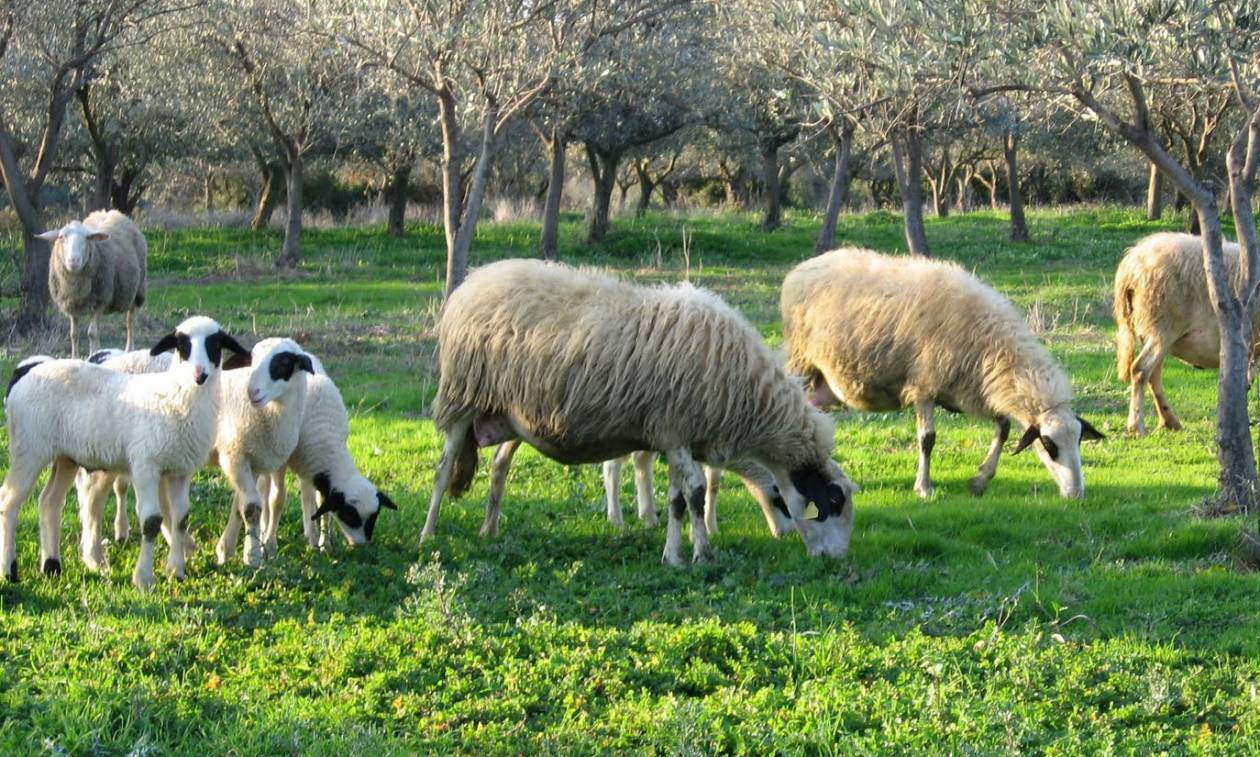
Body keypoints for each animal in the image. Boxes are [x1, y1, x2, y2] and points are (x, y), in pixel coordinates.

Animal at [38, 207, 147, 357]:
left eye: (87, 238)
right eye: (61, 237)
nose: (74, 261)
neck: (76, 286)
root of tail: (115, 213)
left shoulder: (100, 301)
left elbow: (91, 333)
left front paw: (92, 355)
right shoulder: (71, 303)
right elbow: (74, 334)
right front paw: (75, 357)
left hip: (136, 292)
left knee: (130, 322)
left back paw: (129, 349)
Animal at [425, 256, 856, 564]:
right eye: (834, 502)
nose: (835, 560)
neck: (749, 396)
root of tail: (474, 280)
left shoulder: (674, 437)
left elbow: (678, 499)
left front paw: (673, 556)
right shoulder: (675, 429)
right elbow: (696, 493)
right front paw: (703, 555)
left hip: (511, 416)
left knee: (499, 466)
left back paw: (489, 530)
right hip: (463, 399)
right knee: (444, 470)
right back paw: (427, 534)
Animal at [776, 245, 1103, 498]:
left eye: (1078, 441)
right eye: (1049, 446)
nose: (1076, 495)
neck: (993, 346)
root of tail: (802, 267)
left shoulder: (969, 392)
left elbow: (1004, 428)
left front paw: (980, 480)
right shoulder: (923, 387)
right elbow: (928, 439)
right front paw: (924, 487)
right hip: (801, 361)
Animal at [1113, 230, 1249, 433]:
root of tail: (1131, 263)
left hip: (1154, 331)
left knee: (1153, 375)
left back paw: (1169, 421)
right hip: (1162, 327)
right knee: (1140, 370)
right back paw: (1137, 426)